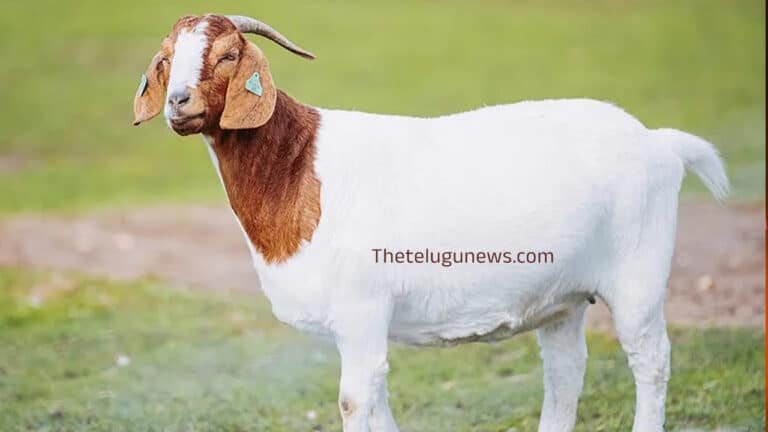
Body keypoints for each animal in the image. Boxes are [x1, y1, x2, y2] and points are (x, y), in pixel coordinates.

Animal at [133, 14, 729, 432]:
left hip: (638, 277)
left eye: (229, 54)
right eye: (166, 59)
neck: (299, 168)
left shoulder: (362, 308)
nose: (178, 102)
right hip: (562, 297)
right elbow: (377, 401)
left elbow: (354, 400)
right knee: (565, 371)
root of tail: (658, 141)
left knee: (651, 361)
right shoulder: (362, 325)